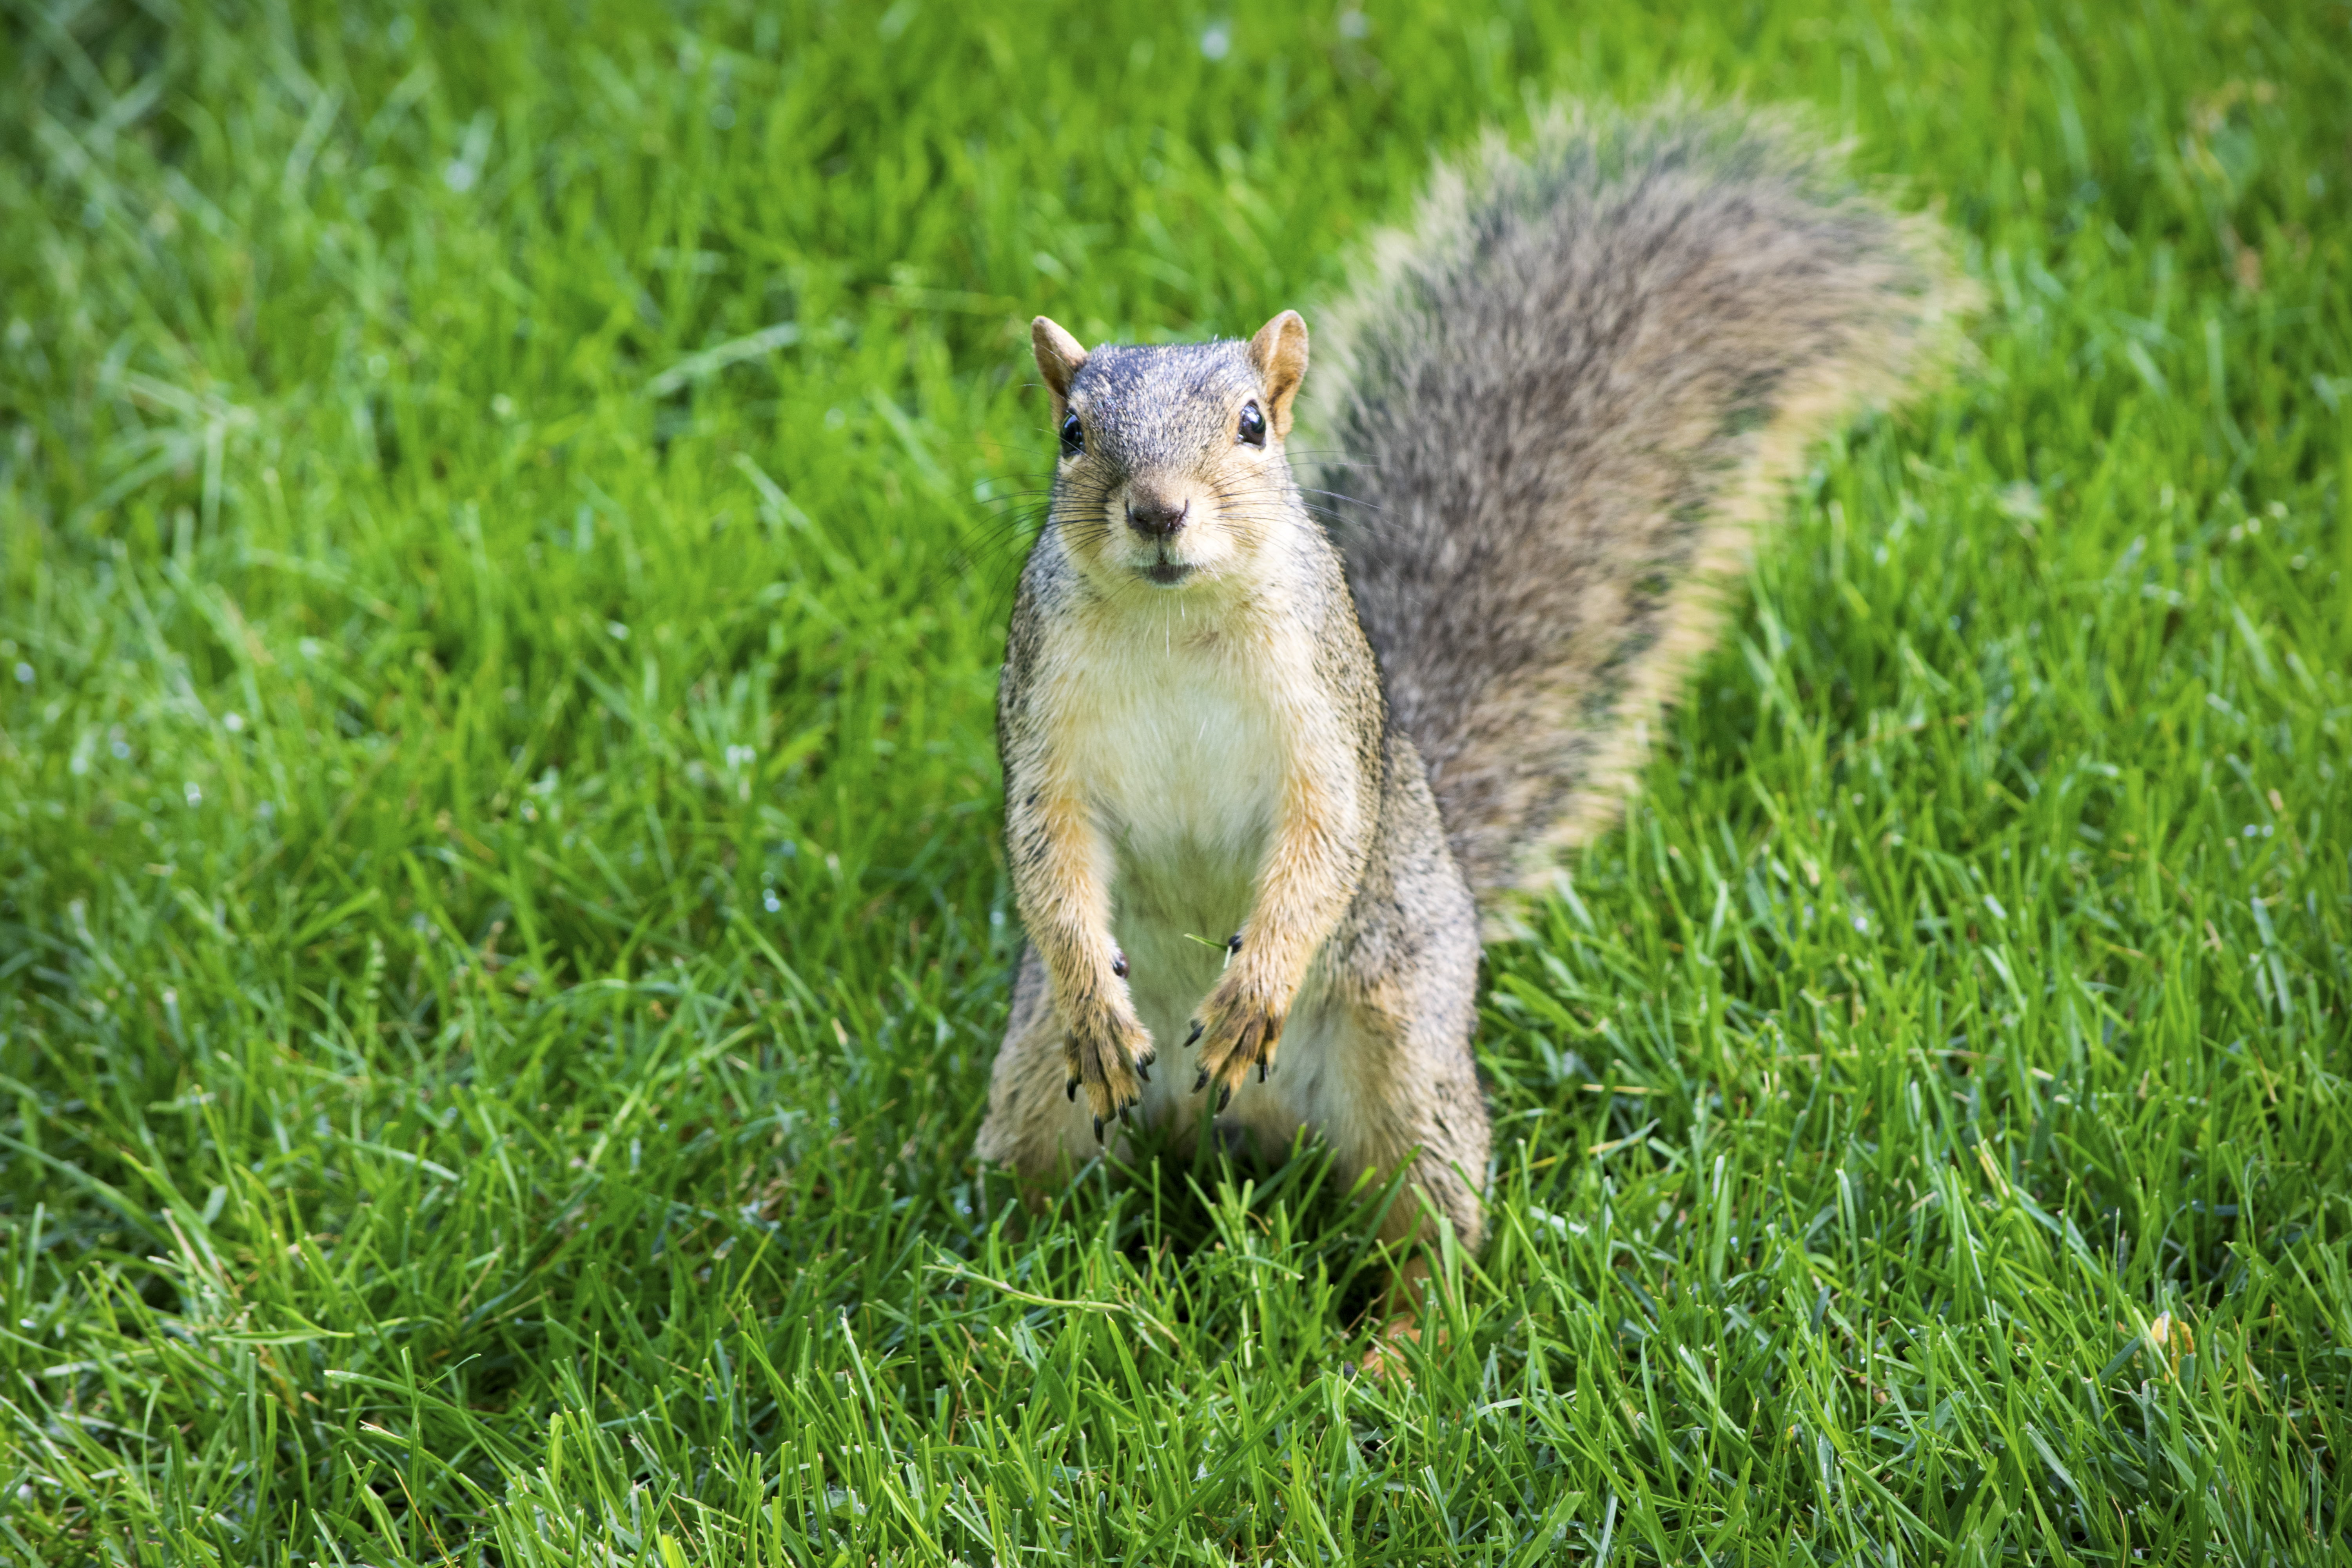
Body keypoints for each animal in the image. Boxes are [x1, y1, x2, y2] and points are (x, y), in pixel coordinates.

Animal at [973, 102, 1970, 1299]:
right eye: (1072, 432)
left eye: (1254, 424)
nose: (1158, 513)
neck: (1176, 623)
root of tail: (1241, 1133)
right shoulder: (1042, 720)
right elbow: (1047, 852)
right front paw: (1094, 993)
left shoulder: (1329, 716)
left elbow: (1326, 836)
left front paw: (1255, 987)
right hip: (1037, 1085)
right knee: (1040, 1182)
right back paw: (1022, 1282)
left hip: (1405, 1057)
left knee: (1430, 1236)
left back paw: (1396, 1331)